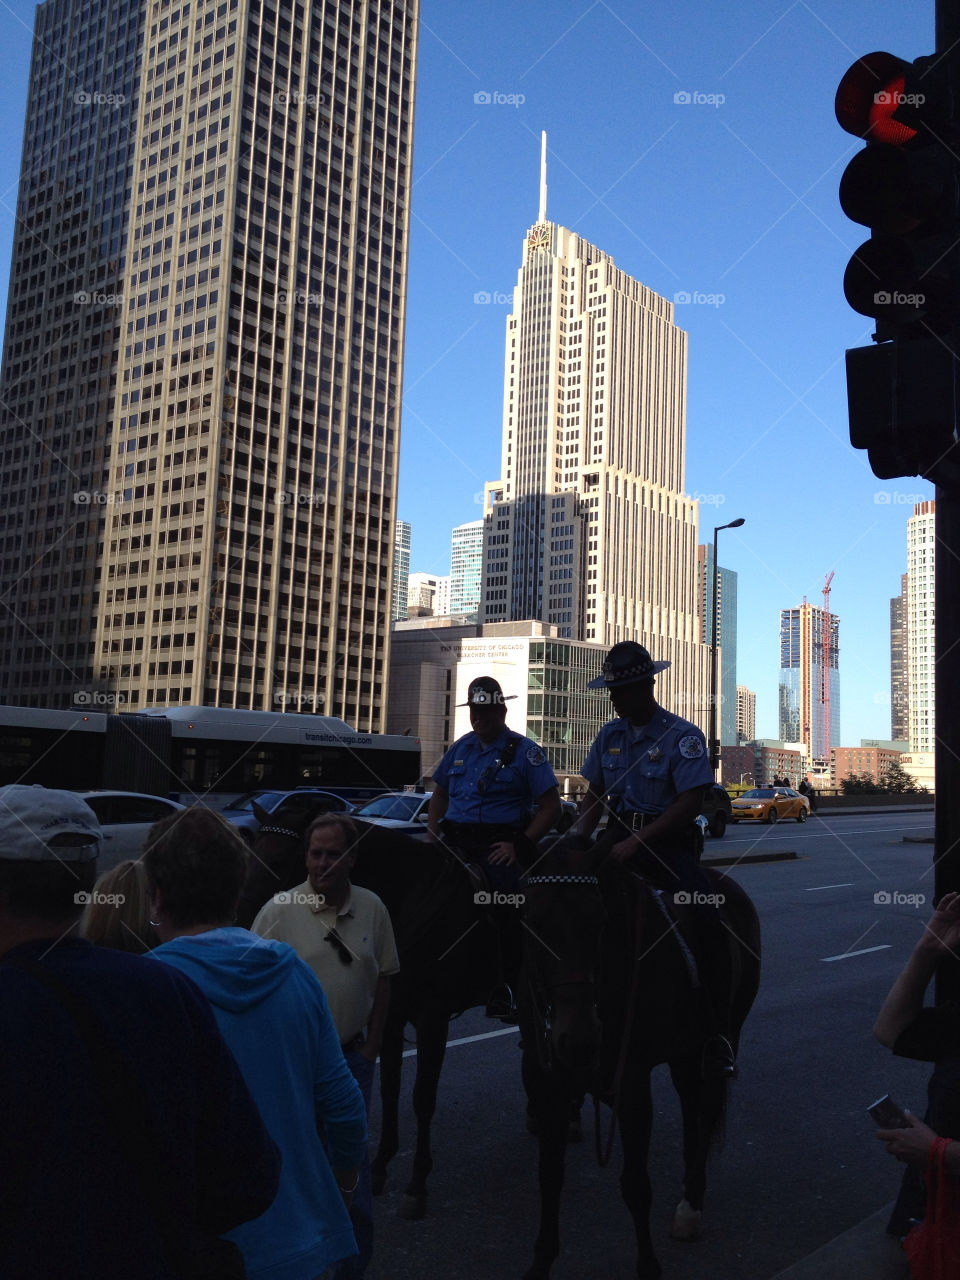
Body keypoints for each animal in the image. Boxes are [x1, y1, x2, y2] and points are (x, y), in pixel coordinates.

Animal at [236, 798, 499, 1218]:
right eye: (248, 857)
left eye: (277, 861)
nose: (246, 923)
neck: (412, 902)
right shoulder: (392, 1016)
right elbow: (390, 1088)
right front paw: (379, 1166)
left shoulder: (433, 1019)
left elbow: (422, 1097)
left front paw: (417, 1181)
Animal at [522, 834, 762, 1274]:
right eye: (531, 921)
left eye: (599, 921)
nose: (578, 1039)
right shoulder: (549, 1083)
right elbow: (549, 1175)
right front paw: (541, 1262)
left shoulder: (631, 1084)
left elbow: (635, 1184)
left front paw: (648, 1265)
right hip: (687, 1051)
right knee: (691, 1108)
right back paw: (690, 1188)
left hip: (725, 1036)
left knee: (705, 1109)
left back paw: (690, 1206)